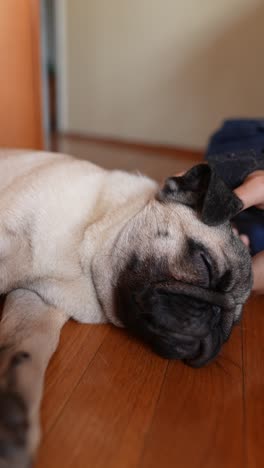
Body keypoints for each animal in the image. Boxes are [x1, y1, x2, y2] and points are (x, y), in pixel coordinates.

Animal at [0, 151, 252, 468]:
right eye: (205, 265)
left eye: (231, 327)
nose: (215, 318)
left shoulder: (36, 302)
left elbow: (24, 356)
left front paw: (12, 421)